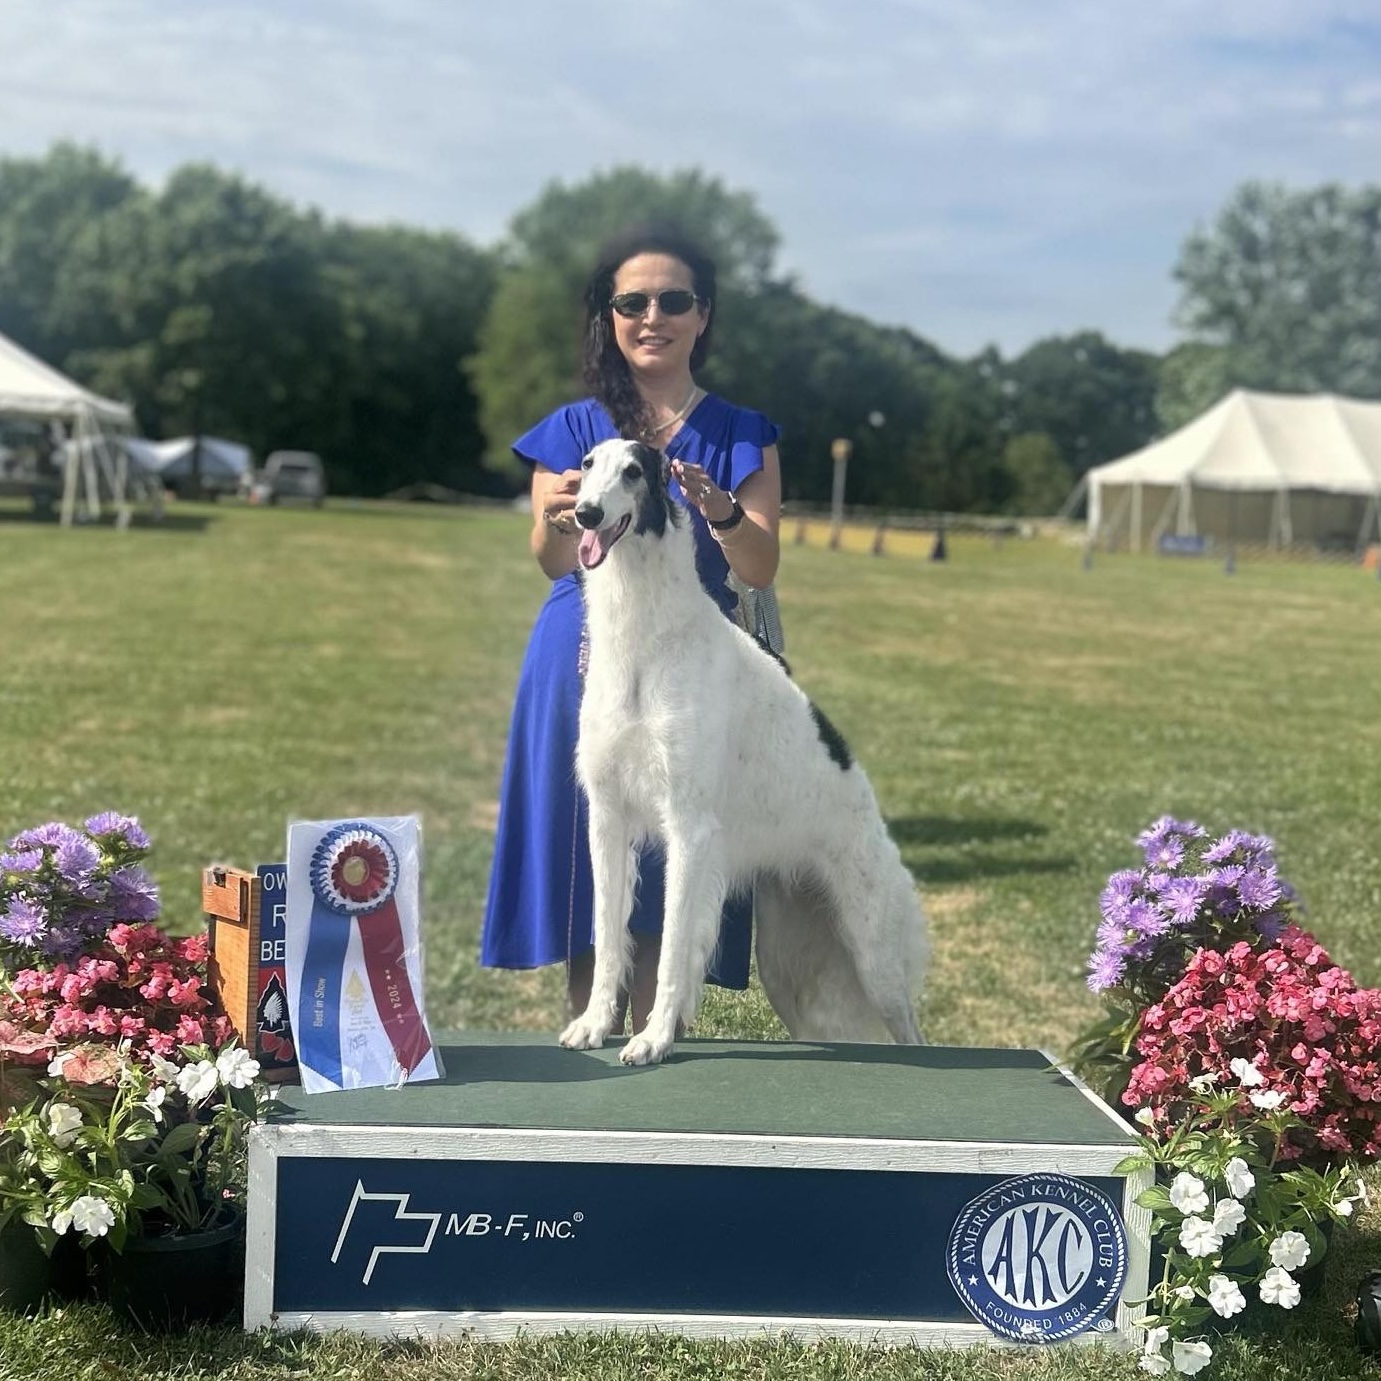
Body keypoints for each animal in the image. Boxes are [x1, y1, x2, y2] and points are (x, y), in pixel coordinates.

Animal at [558, 438, 928, 1066]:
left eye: (634, 472)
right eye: (585, 467)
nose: (586, 515)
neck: (647, 639)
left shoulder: (690, 828)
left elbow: (671, 949)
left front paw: (653, 1038)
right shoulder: (608, 818)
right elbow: (608, 937)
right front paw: (593, 1024)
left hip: (873, 953)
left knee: (915, 1031)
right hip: (788, 967)